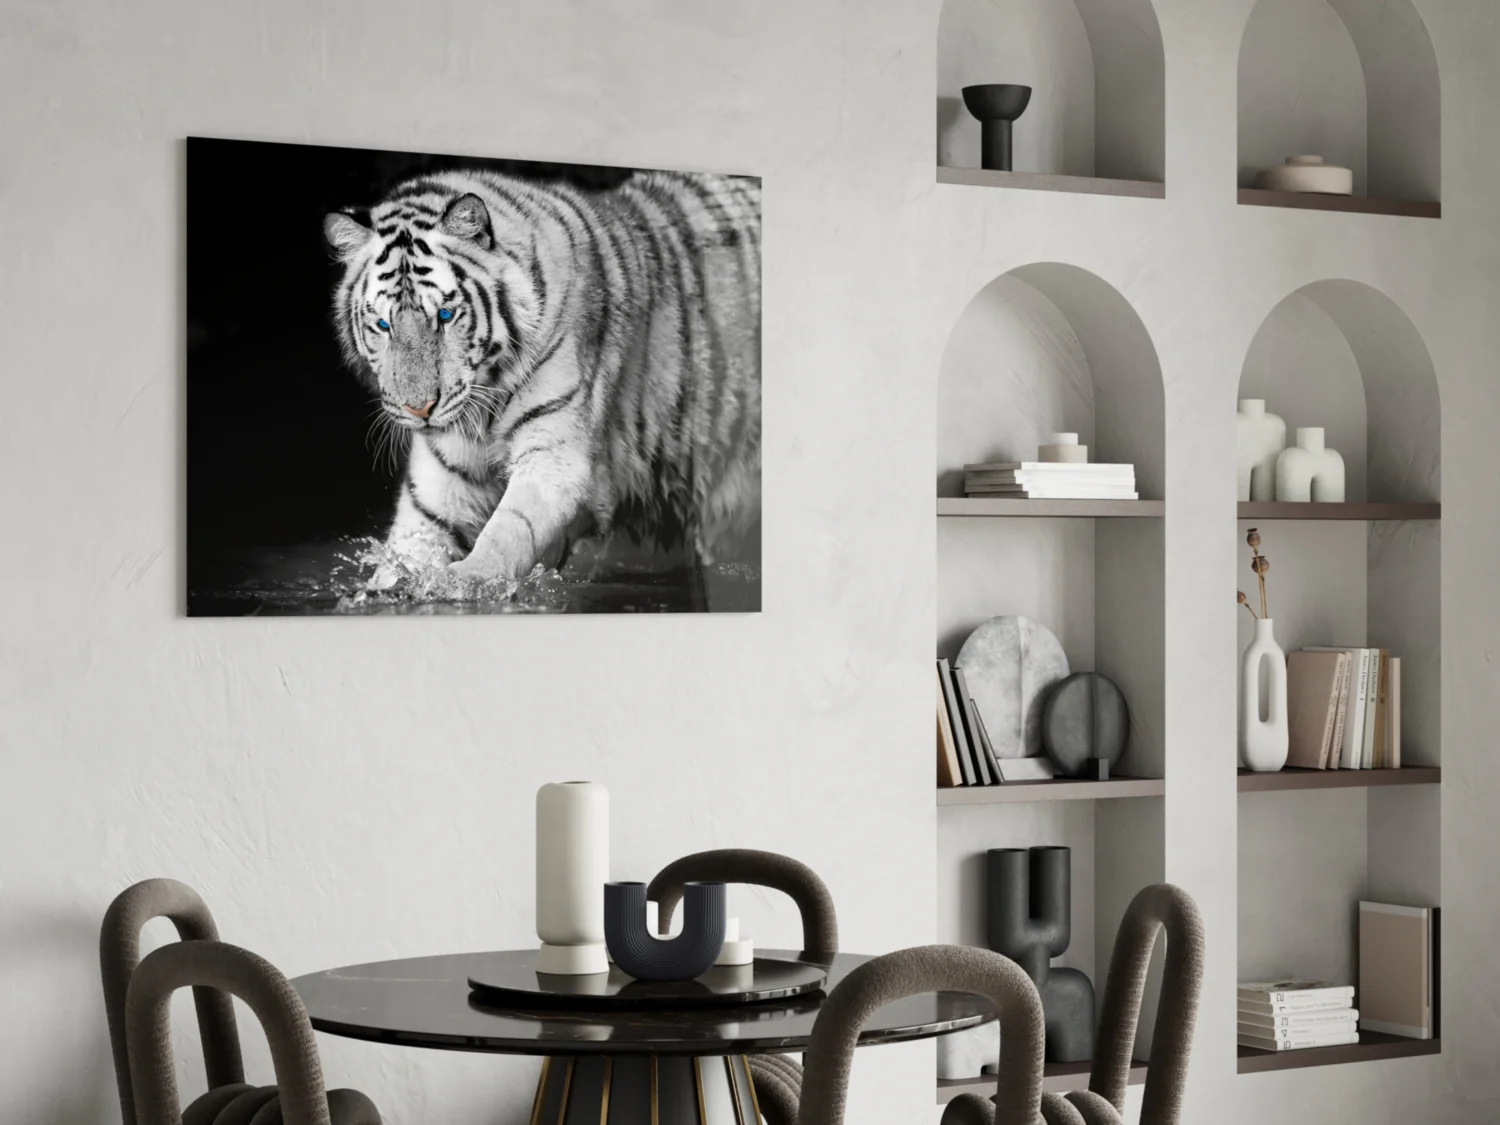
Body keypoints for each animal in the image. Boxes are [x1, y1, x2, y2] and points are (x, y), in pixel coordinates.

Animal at [322, 164, 761, 592]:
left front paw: (463, 580)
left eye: (445, 316)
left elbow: (509, 529)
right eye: (383, 325)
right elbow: (411, 544)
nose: (420, 409)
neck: (484, 400)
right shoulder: (440, 480)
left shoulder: (555, 457)